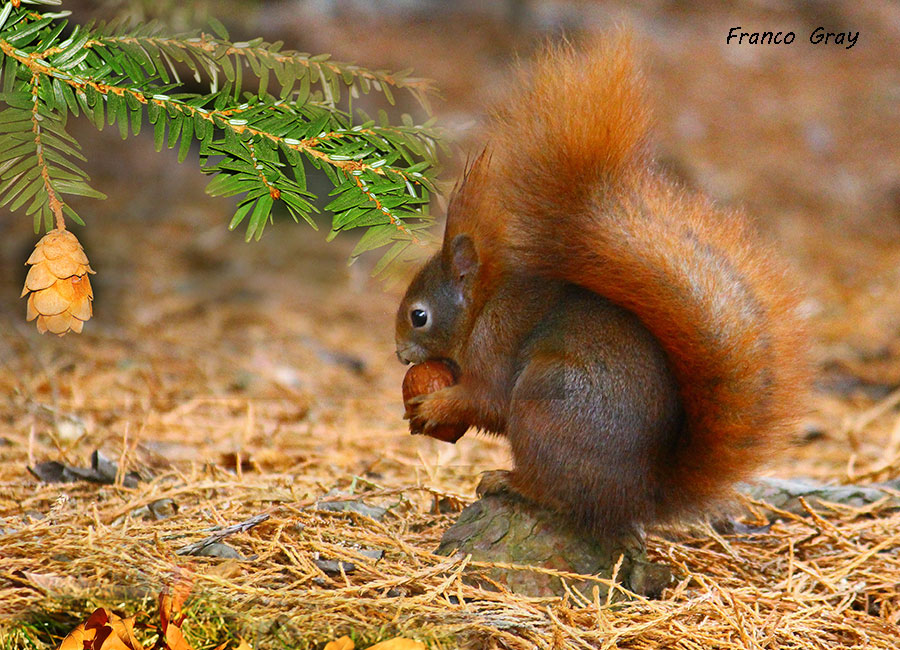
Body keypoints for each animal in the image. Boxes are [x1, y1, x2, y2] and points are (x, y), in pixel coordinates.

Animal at [394, 33, 808, 536]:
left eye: (419, 316)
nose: (400, 355)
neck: (482, 307)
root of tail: (639, 496)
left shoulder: (494, 346)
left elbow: (485, 400)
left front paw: (433, 407)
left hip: (545, 405)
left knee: (556, 493)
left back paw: (508, 482)